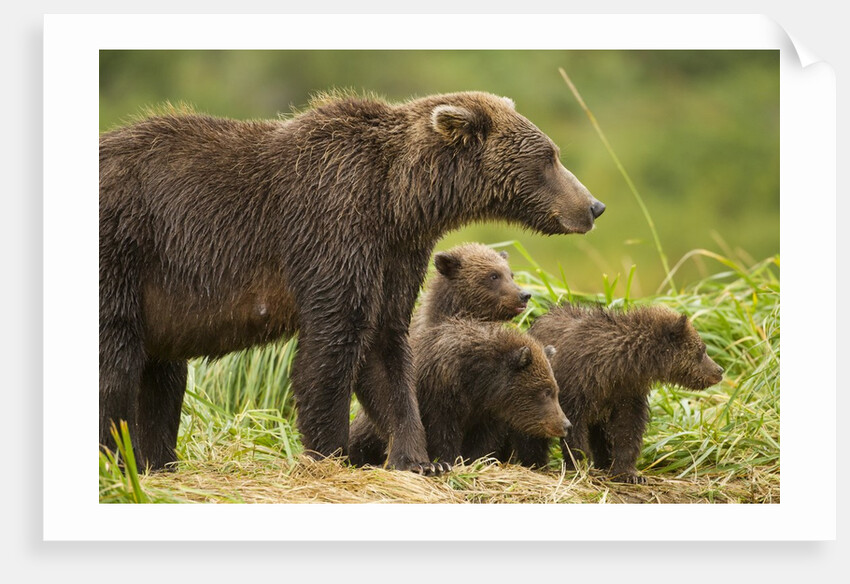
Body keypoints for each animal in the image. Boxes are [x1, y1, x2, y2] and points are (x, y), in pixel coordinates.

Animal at [350, 318, 570, 467]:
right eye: (546, 391)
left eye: (555, 389)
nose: (565, 424)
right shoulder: (442, 395)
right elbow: (443, 435)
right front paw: (448, 461)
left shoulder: (489, 412)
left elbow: (483, 442)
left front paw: (475, 460)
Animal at [507, 303, 724, 483]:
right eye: (702, 350)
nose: (719, 370)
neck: (617, 366)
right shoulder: (575, 385)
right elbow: (574, 427)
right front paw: (580, 465)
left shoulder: (626, 392)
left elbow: (628, 428)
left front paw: (629, 473)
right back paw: (536, 462)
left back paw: (603, 463)